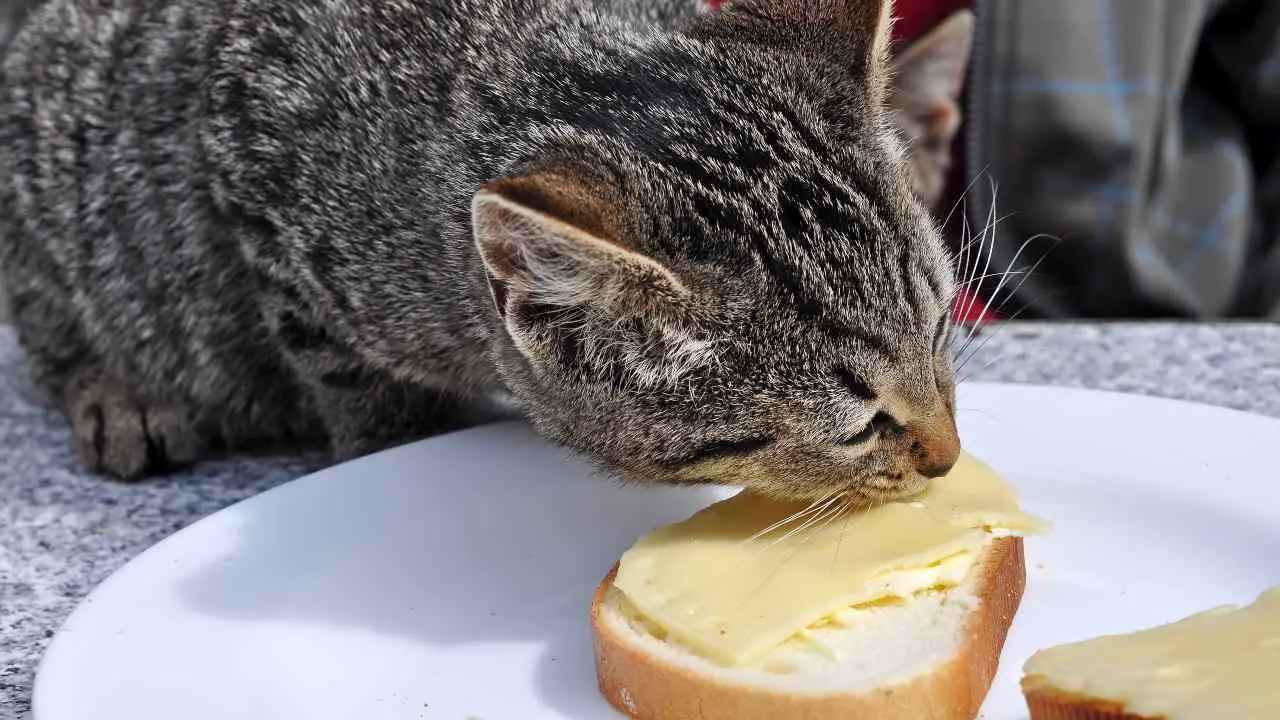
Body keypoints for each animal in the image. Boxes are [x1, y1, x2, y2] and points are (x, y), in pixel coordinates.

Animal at [2, 0, 967, 499]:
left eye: (936, 339)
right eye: (860, 425)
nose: (949, 456)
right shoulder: (257, 189)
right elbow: (369, 402)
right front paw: (389, 446)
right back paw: (118, 396)